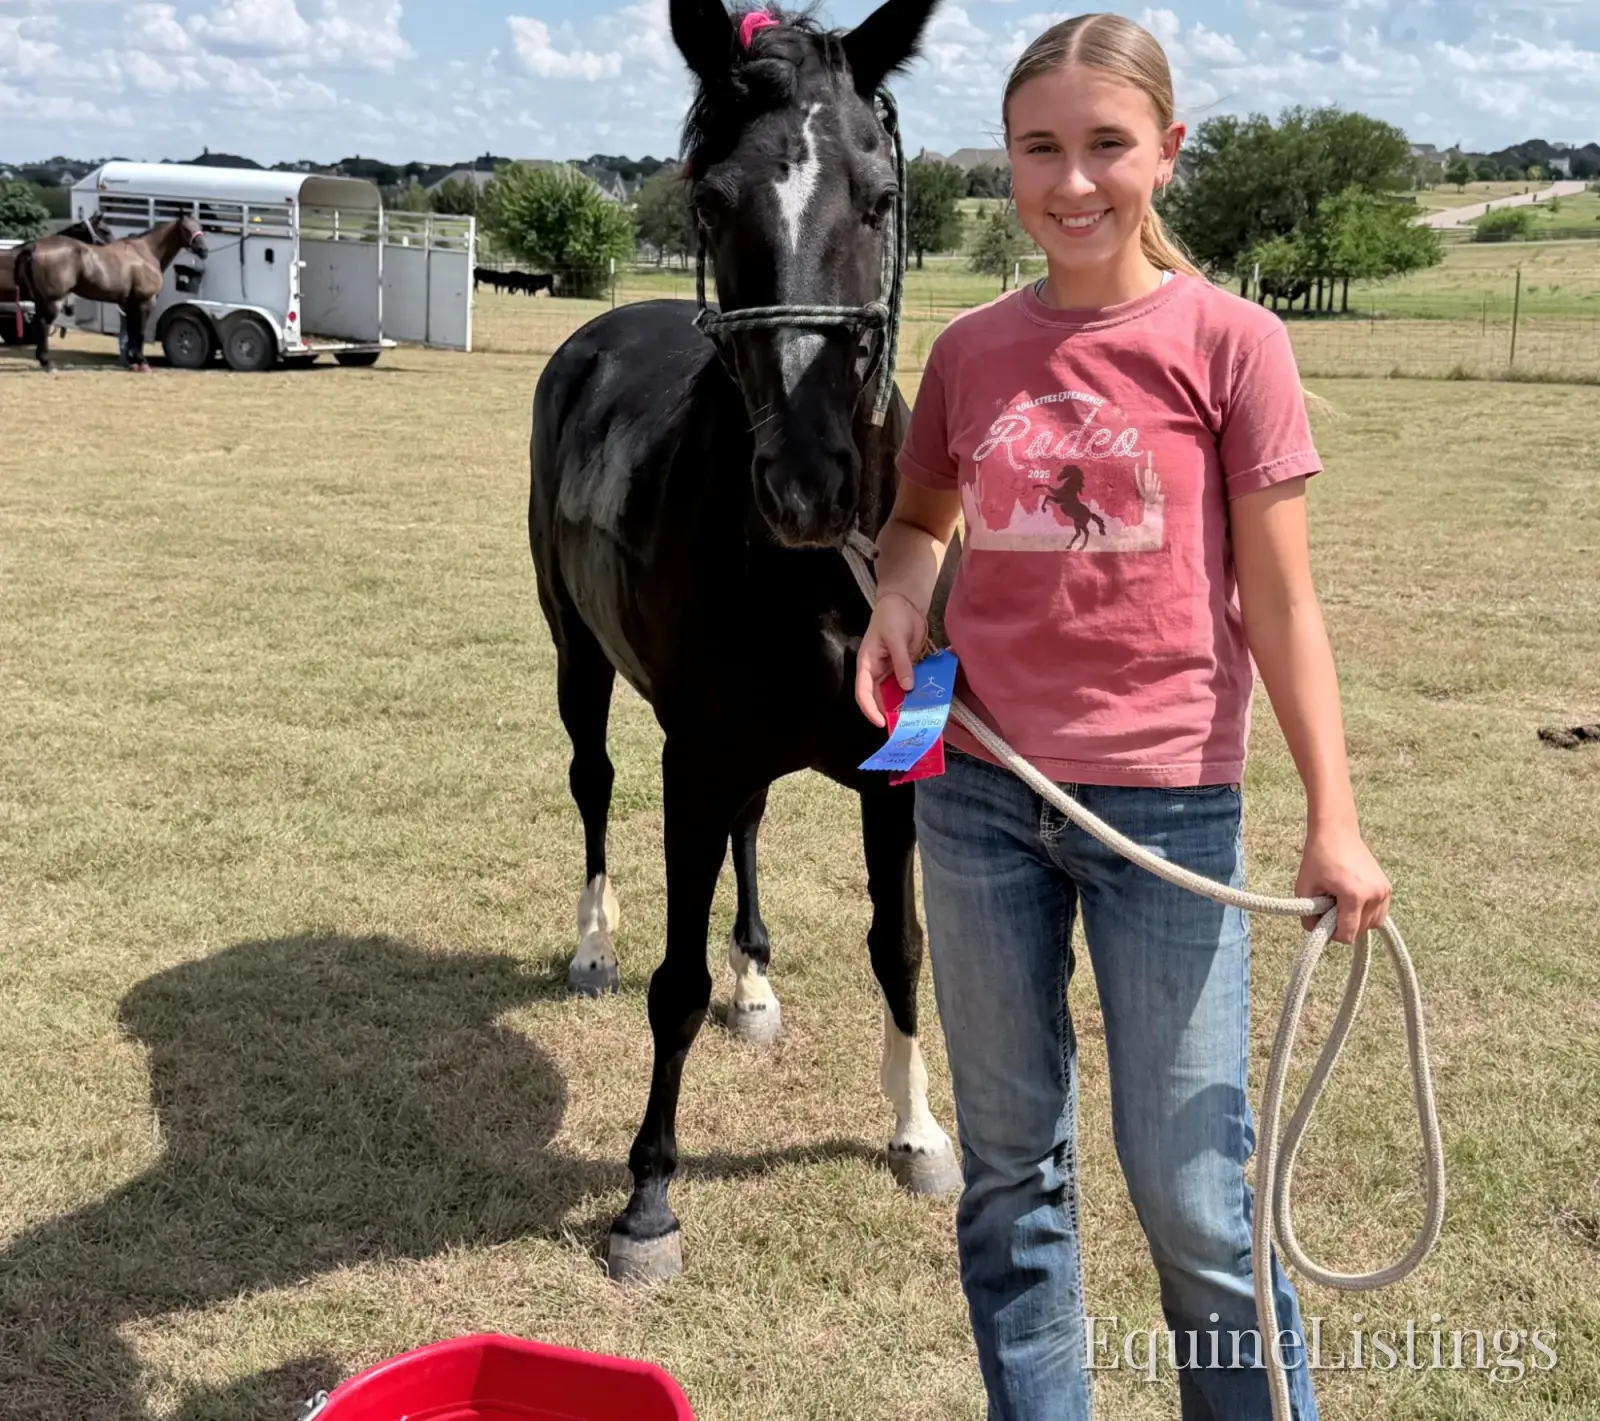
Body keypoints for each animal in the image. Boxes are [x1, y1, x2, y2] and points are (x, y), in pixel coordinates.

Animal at [13, 215, 207, 372]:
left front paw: (133, 361)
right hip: (54, 300)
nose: (204, 250)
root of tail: (36, 247)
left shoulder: (129, 304)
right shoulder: (145, 301)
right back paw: (46, 362)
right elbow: (140, 331)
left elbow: (131, 331)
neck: (145, 253)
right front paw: (142, 361)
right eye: (186, 229)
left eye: (200, 227)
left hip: (43, 300)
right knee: (44, 324)